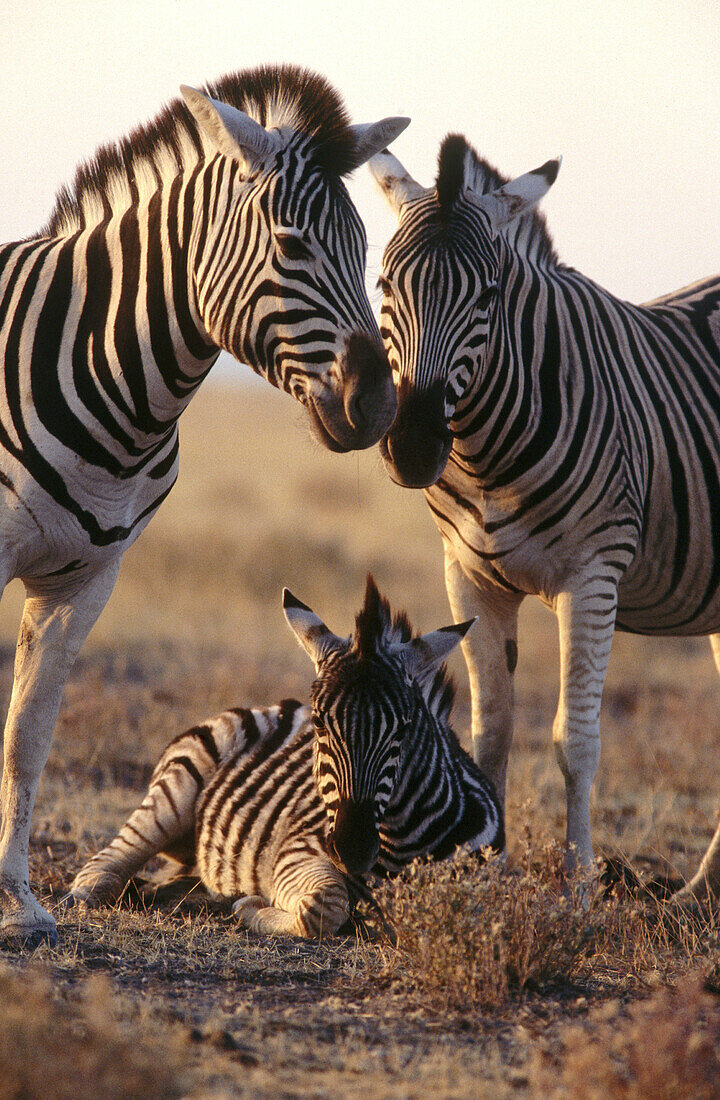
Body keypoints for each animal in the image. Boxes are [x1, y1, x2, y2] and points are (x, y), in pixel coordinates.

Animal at [0, 64, 411, 946]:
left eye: (366, 251)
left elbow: (28, 738)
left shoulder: (84, 580)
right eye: (291, 246)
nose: (378, 407)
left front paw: (19, 903)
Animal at [70, 576, 503, 937]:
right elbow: (325, 905)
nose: (353, 850)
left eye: (404, 727)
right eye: (320, 723)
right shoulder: (297, 851)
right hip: (174, 792)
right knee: (104, 866)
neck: (402, 841)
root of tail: (275, 707)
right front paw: (251, 906)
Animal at [371, 135, 720, 902]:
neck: (486, 458)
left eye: (488, 295)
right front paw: (485, 873)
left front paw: (581, 887)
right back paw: (698, 891)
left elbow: (574, 740)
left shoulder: (594, 576)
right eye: (384, 287)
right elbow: (492, 733)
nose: (412, 447)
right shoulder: (469, 576)